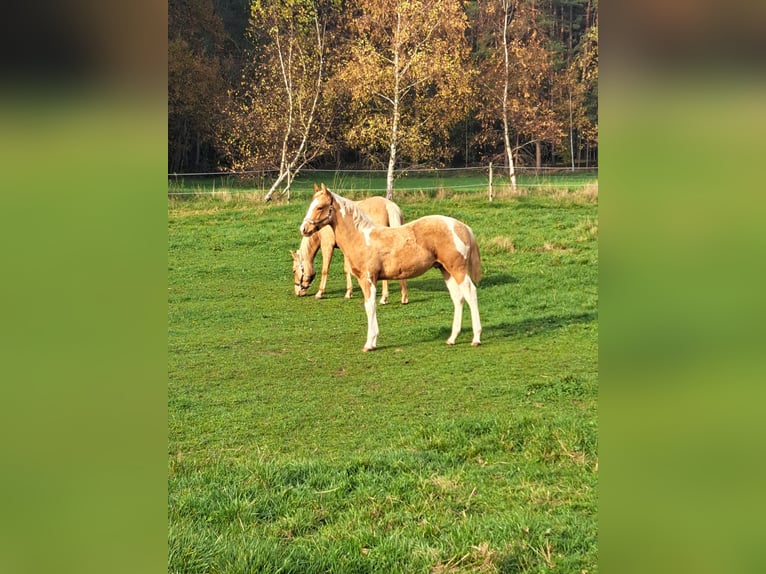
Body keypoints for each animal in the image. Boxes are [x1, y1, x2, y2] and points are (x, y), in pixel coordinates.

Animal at [302, 184, 486, 352]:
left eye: (319, 207)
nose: (304, 229)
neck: (361, 238)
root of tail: (463, 227)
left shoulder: (368, 278)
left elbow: (369, 307)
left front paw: (369, 343)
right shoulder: (364, 279)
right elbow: (369, 306)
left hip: (458, 269)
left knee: (470, 293)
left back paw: (476, 338)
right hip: (445, 270)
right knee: (458, 298)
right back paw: (452, 338)